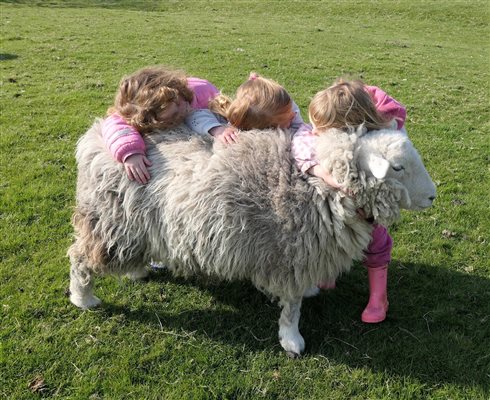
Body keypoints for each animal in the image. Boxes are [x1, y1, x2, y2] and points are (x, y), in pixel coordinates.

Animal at [68, 122, 436, 356]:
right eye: (398, 167)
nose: (433, 195)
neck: (322, 186)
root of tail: (93, 137)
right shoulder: (291, 254)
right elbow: (292, 307)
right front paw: (292, 340)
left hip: (134, 225)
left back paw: (137, 271)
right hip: (108, 220)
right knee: (80, 258)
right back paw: (83, 298)